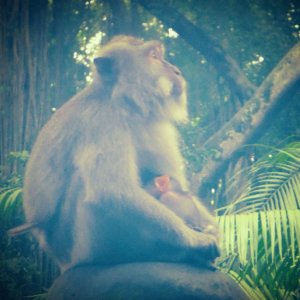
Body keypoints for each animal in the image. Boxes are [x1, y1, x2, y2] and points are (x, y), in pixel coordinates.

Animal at [10, 35, 219, 272]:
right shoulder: (101, 121)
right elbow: (112, 191)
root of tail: (62, 262)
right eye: (154, 56)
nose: (177, 71)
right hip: (84, 247)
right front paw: (197, 240)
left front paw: (210, 230)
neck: (124, 102)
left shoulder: (155, 126)